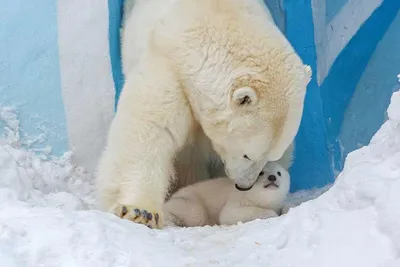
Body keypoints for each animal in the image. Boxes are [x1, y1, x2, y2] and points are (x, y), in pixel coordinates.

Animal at [96, 0, 310, 230]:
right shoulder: (169, 70)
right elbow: (149, 128)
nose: (245, 185)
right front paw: (140, 211)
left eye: (271, 158)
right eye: (248, 155)